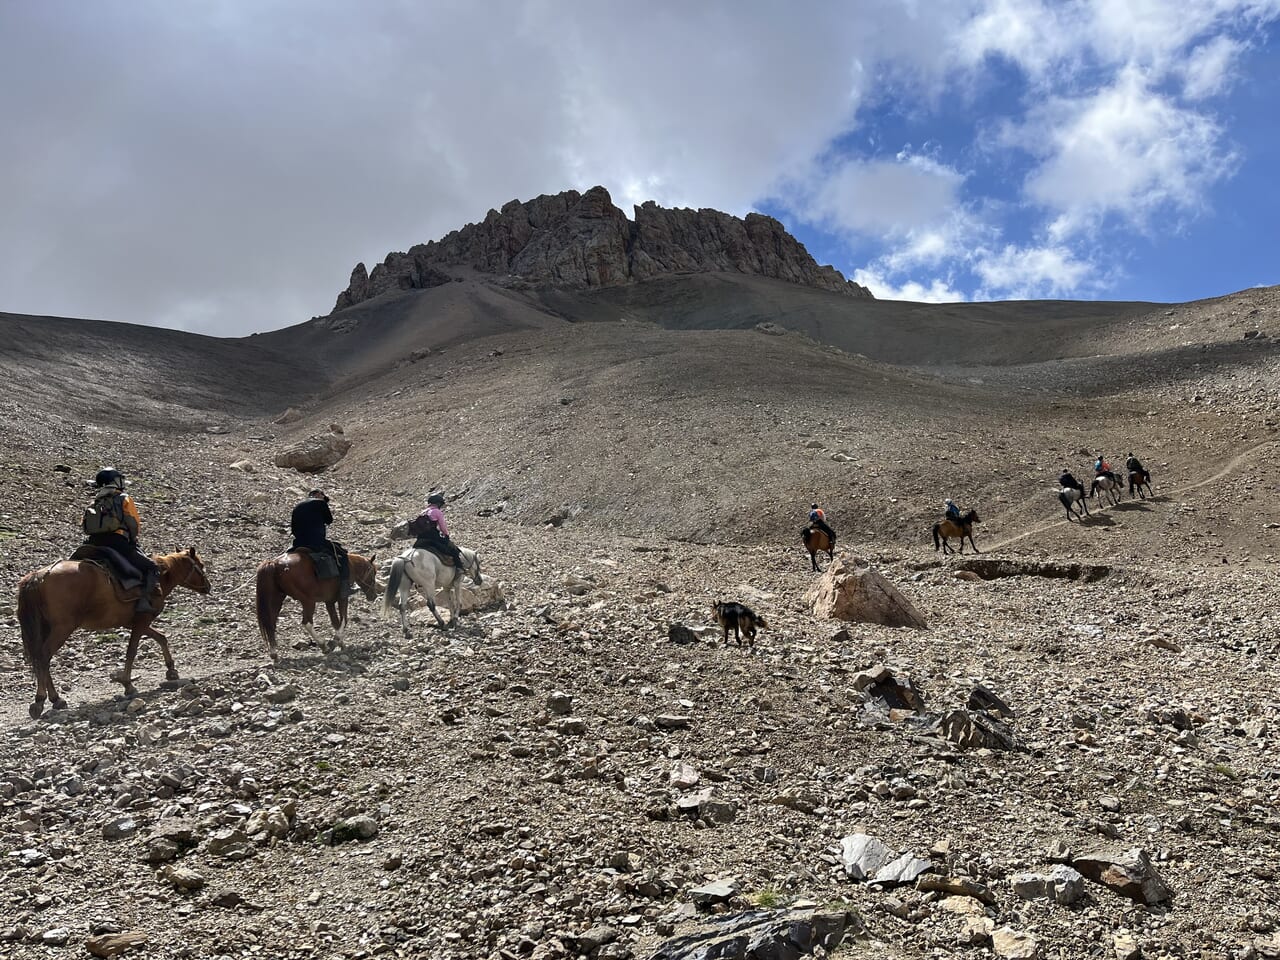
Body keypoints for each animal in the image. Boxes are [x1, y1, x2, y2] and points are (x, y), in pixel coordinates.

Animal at [16, 547, 211, 721]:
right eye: (201, 565)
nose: (208, 587)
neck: (161, 578)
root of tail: (39, 576)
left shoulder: (136, 623)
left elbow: (161, 638)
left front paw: (171, 670)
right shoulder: (142, 621)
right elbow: (132, 651)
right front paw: (127, 684)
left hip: (47, 628)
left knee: (42, 658)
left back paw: (56, 699)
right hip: (62, 628)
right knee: (43, 656)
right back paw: (40, 701)